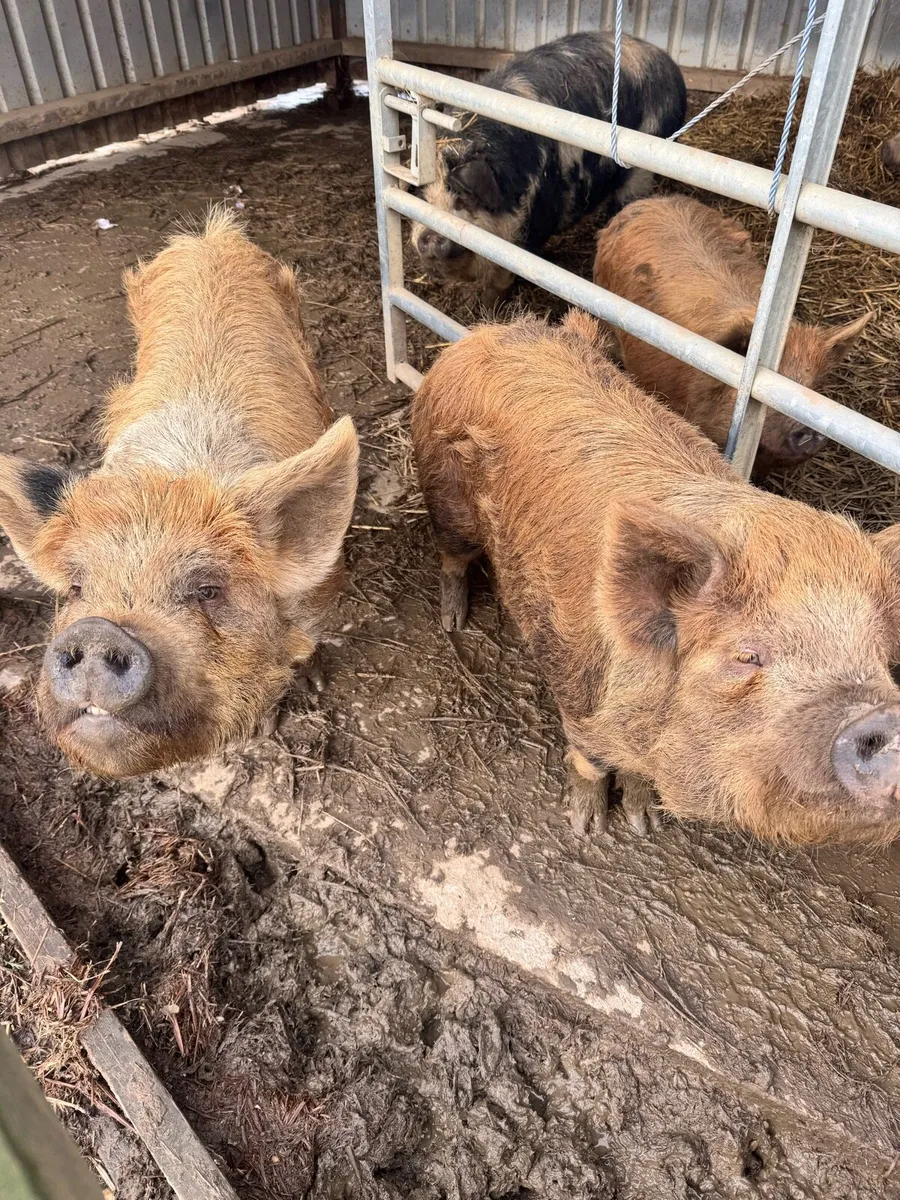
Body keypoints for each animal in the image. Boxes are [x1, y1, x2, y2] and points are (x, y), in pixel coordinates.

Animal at [411, 31, 687, 307]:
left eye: (461, 201)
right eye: (424, 199)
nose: (429, 237)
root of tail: (668, 64)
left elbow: (503, 272)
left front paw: (489, 307)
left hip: (642, 166)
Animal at [411, 310, 900, 846]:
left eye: (880, 656)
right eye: (746, 655)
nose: (884, 718)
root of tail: (486, 334)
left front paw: (643, 824)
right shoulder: (573, 677)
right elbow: (590, 758)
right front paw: (587, 827)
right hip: (445, 497)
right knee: (452, 557)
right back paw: (453, 621)